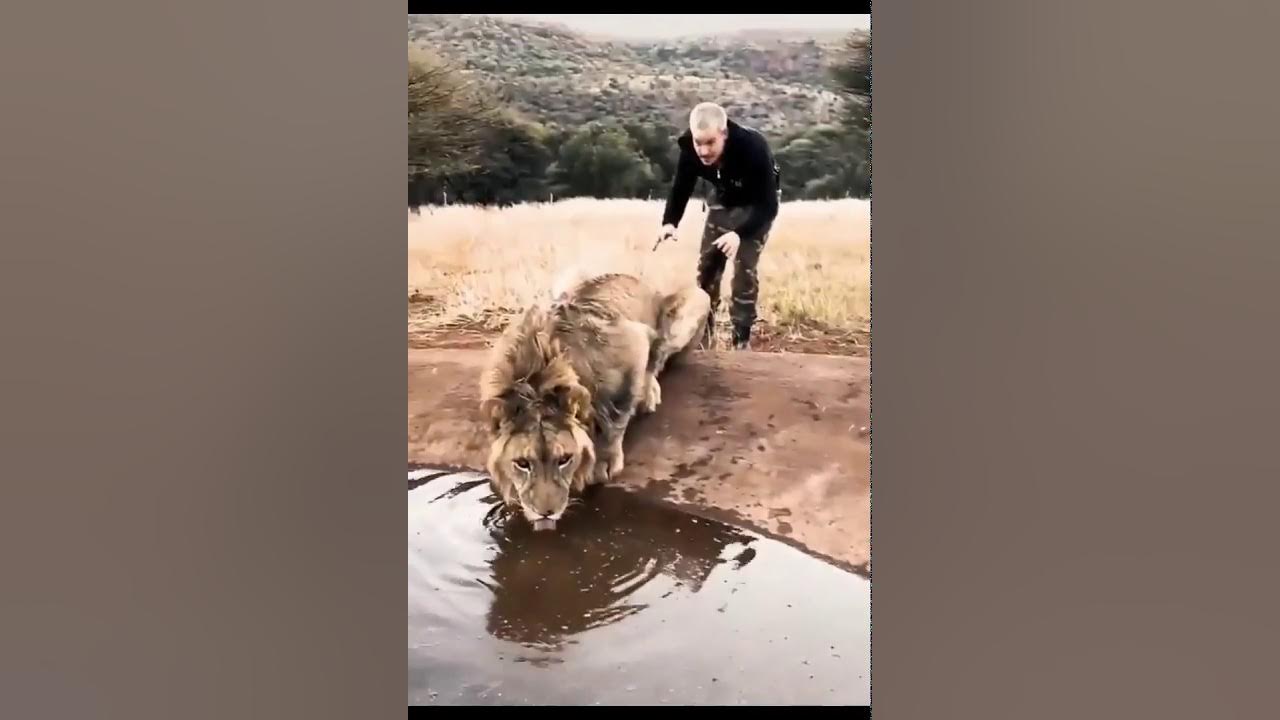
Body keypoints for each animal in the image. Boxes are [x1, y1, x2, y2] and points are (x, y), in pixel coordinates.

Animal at [478, 272, 711, 531]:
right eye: (522, 463)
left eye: (564, 460)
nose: (546, 513)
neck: (536, 377)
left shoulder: (634, 342)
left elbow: (617, 414)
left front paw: (604, 463)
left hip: (697, 300)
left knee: (659, 357)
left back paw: (649, 393)